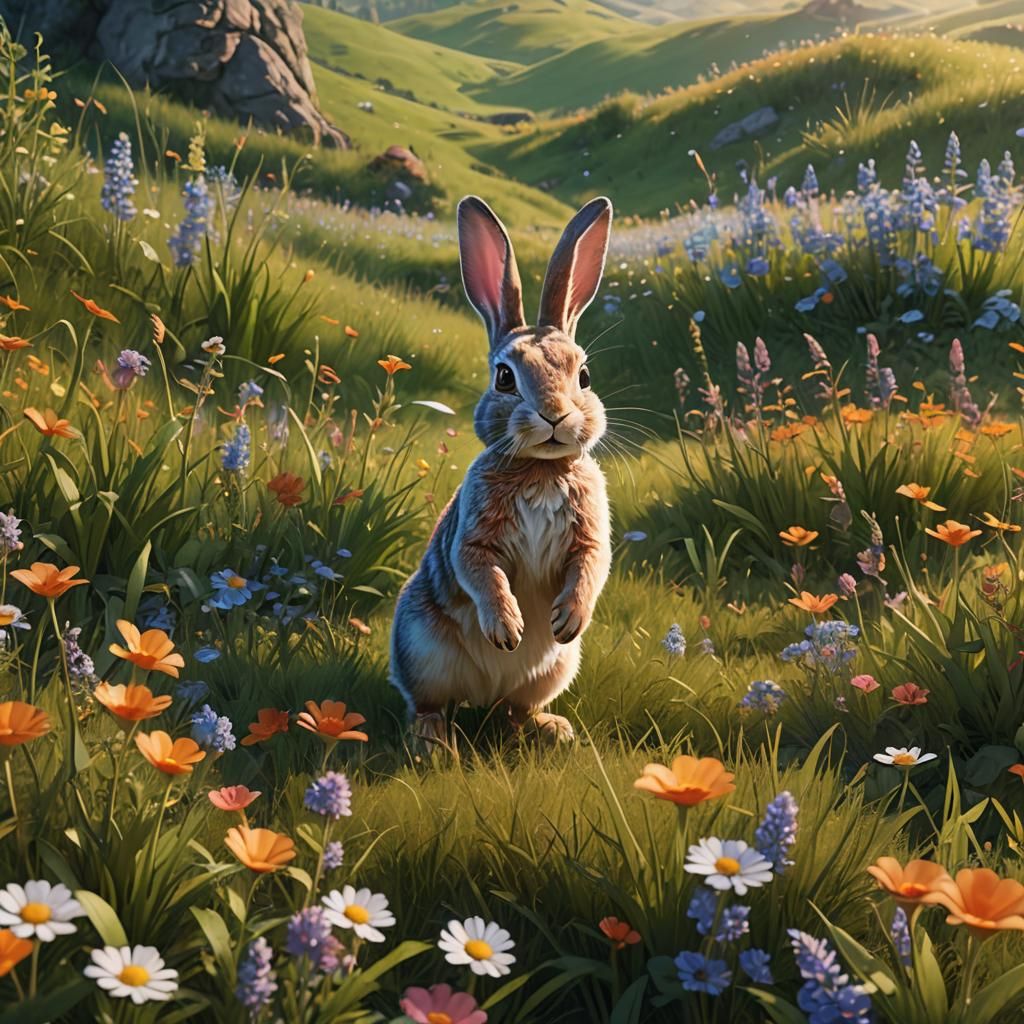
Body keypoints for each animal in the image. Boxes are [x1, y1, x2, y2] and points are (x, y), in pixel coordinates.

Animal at [390, 194, 613, 746]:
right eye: (505, 378)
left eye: (584, 376)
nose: (555, 414)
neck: (541, 469)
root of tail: (482, 694)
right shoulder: (473, 537)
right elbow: (480, 571)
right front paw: (508, 628)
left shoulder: (591, 534)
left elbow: (590, 566)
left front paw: (568, 617)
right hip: (420, 648)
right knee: (428, 704)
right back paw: (431, 742)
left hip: (555, 669)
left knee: (515, 710)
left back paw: (551, 729)